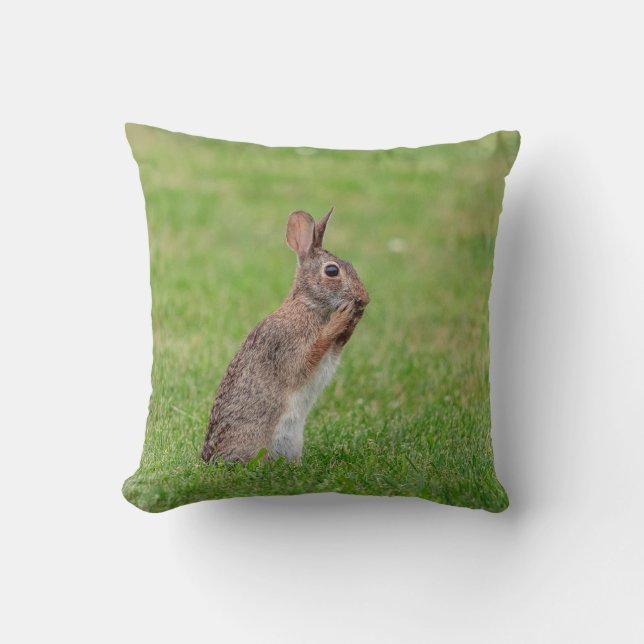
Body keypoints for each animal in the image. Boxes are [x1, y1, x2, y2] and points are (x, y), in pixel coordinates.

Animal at [201, 208, 369, 464]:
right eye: (332, 270)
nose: (365, 298)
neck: (308, 305)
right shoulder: (288, 346)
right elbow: (311, 356)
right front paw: (342, 316)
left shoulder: (334, 349)